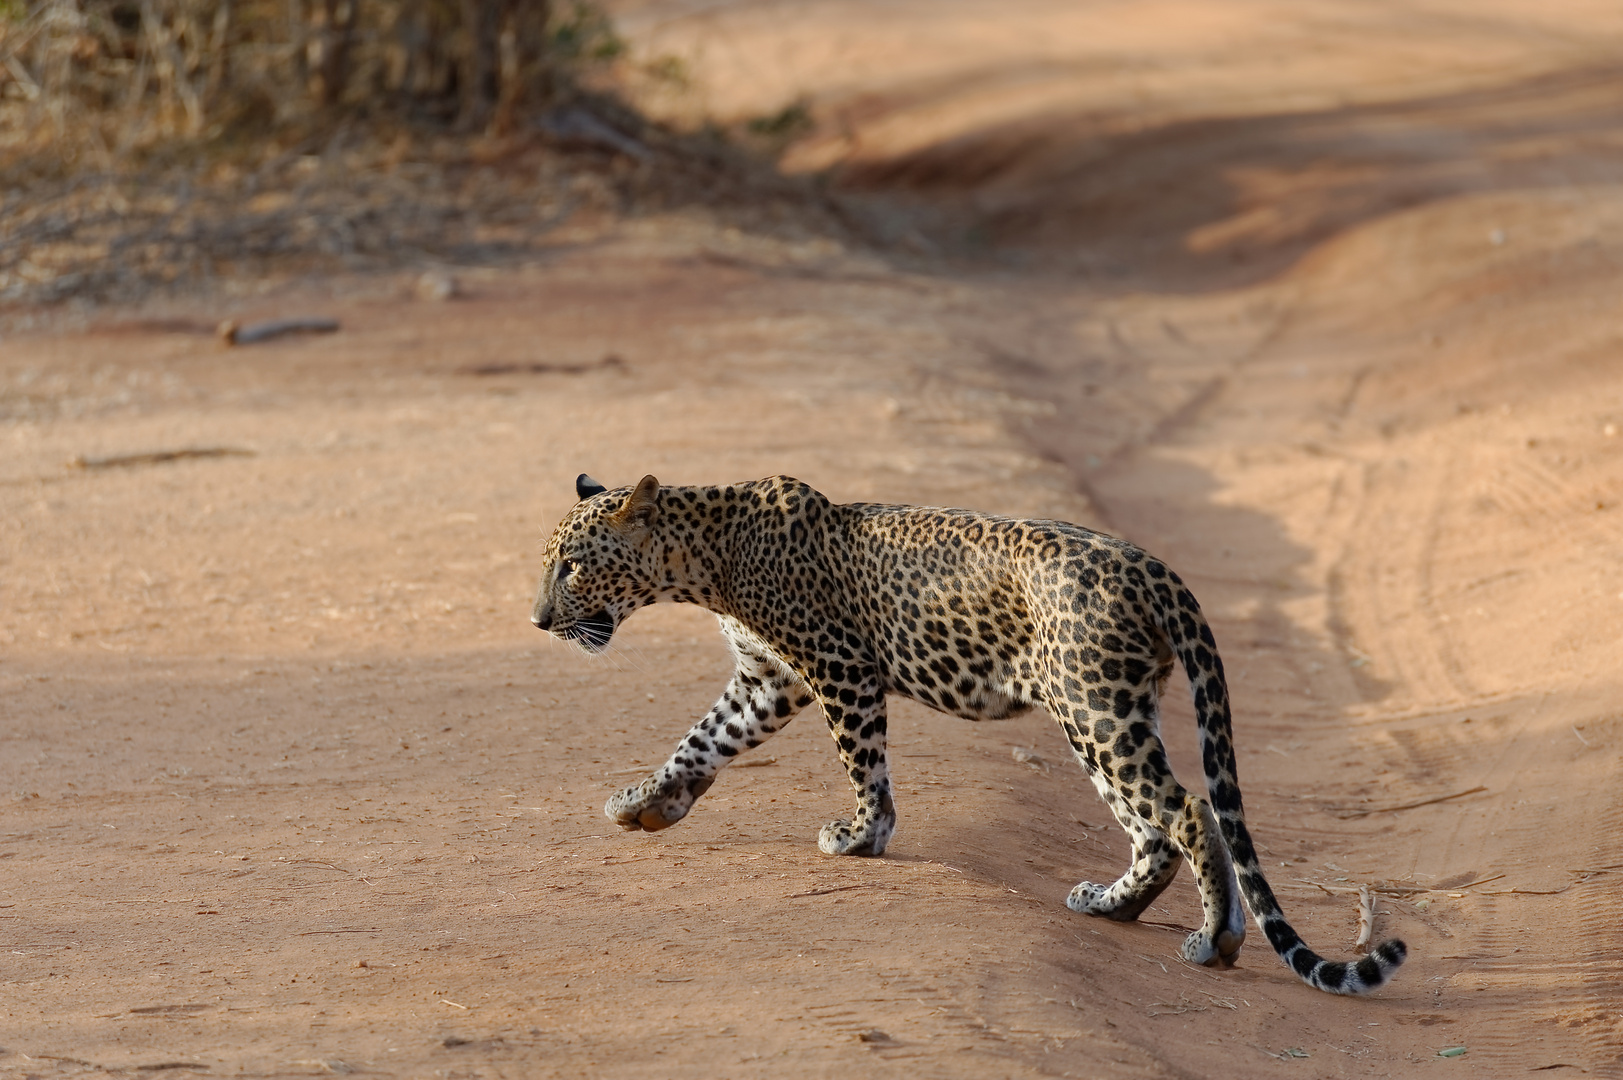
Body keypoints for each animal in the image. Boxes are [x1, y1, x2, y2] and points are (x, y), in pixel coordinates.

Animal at [532, 470, 1408, 993]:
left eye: (572, 565)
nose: (537, 620)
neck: (702, 559)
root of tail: (1155, 569)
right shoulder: (765, 680)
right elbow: (700, 738)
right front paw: (648, 801)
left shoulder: (837, 667)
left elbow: (861, 761)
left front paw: (861, 836)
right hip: (1107, 709)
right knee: (1152, 827)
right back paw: (1110, 906)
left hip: (1092, 706)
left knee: (1188, 811)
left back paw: (1213, 940)